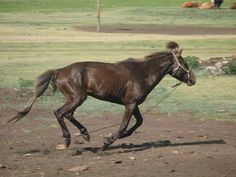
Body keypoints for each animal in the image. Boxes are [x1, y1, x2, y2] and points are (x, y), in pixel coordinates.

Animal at [7, 41, 195, 151]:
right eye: (185, 64)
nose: (193, 79)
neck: (142, 73)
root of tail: (59, 71)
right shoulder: (130, 104)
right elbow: (124, 124)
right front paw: (107, 141)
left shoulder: (132, 104)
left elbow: (139, 121)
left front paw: (123, 136)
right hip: (77, 98)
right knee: (59, 112)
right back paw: (68, 139)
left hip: (74, 99)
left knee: (68, 114)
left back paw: (85, 134)